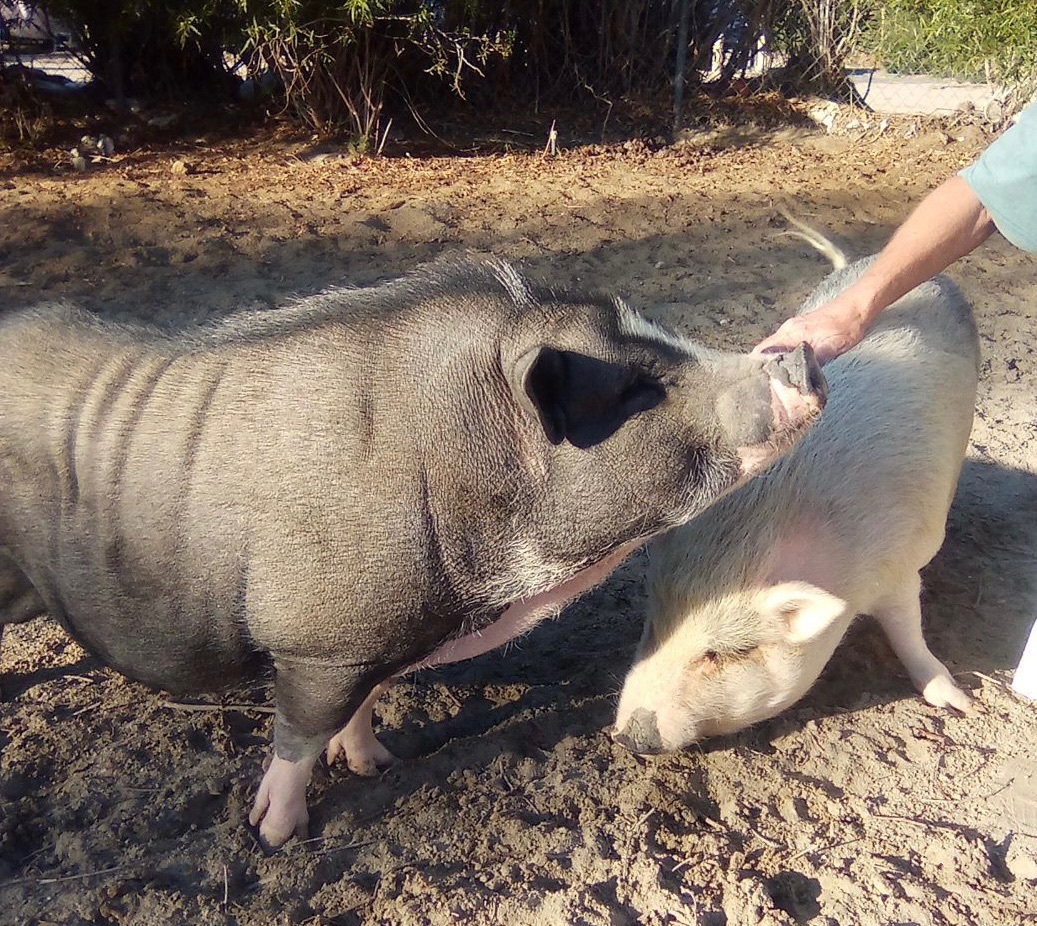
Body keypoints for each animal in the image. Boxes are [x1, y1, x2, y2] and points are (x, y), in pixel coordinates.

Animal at [0, 254, 826, 848]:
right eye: (634, 388)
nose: (797, 355)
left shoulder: (377, 637)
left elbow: (362, 704)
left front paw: (376, 763)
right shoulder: (319, 640)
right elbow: (297, 734)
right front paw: (274, 835)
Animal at [613, 239, 978, 755]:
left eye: (724, 652)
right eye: (653, 626)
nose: (628, 737)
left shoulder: (901, 564)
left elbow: (909, 630)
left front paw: (961, 701)